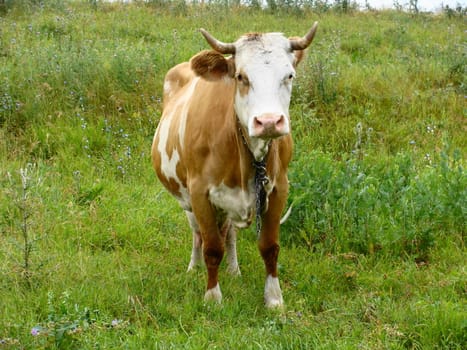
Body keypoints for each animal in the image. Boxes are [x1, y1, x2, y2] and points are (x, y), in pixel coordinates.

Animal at [152, 23, 320, 308]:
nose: (269, 121)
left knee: (228, 233)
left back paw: (233, 269)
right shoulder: (199, 193)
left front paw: (274, 298)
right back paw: (193, 267)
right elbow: (211, 248)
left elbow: (269, 247)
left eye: (289, 75)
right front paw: (212, 297)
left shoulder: (278, 189)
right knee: (198, 234)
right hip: (187, 199)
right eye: (241, 76)